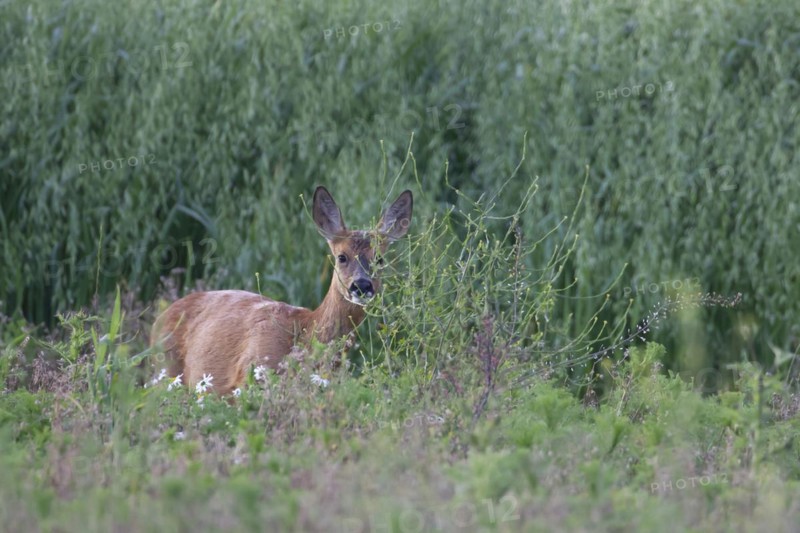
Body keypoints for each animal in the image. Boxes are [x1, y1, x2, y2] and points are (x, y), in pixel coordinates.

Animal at [149, 186, 413, 395]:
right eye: (342, 256)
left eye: (379, 259)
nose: (361, 285)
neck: (303, 334)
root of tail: (160, 317)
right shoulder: (248, 375)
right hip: (165, 370)